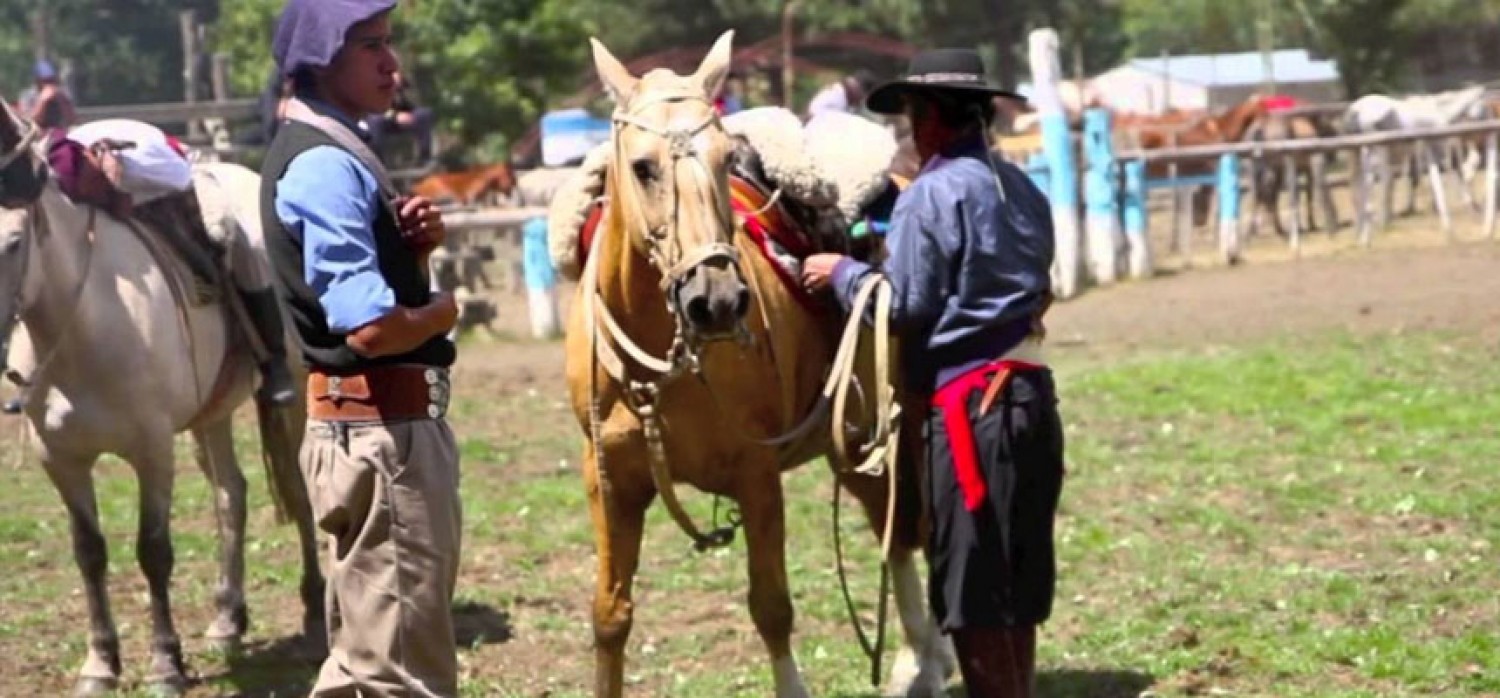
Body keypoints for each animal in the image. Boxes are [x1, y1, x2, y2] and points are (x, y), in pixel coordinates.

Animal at [0, 100, 325, 693]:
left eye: (14, 243)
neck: (84, 325)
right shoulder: (60, 459)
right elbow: (89, 552)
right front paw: (100, 663)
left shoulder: (152, 450)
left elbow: (152, 551)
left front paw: (165, 663)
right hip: (210, 414)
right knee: (231, 494)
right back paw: (227, 616)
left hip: (289, 395)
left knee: (296, 491)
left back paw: (314, 613)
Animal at [558, 30, 954, 693]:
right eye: (642, 167)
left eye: (723, 160)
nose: (715, 299)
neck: (661, 368)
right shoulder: (607, 480)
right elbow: (610, 614)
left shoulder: (756, 474)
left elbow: (771, 607)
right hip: (851, 436)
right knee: (893, 528)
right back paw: (921, 658)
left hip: (890, 424)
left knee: (905, 527)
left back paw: (922, 659)